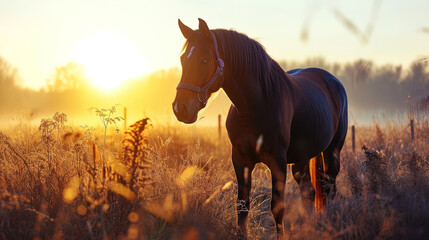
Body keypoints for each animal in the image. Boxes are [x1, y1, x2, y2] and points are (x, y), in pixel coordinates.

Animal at [171, 18, 348, 238]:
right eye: (182, 59)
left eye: (204, 60)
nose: (180, 109)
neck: (255, 105)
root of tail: (332, 81)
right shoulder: (240, 160)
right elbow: (242, 206)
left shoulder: (278, 162)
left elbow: (278, 208)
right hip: (303, 158)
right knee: (309, 192)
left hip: (332, 152)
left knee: (329, 190)